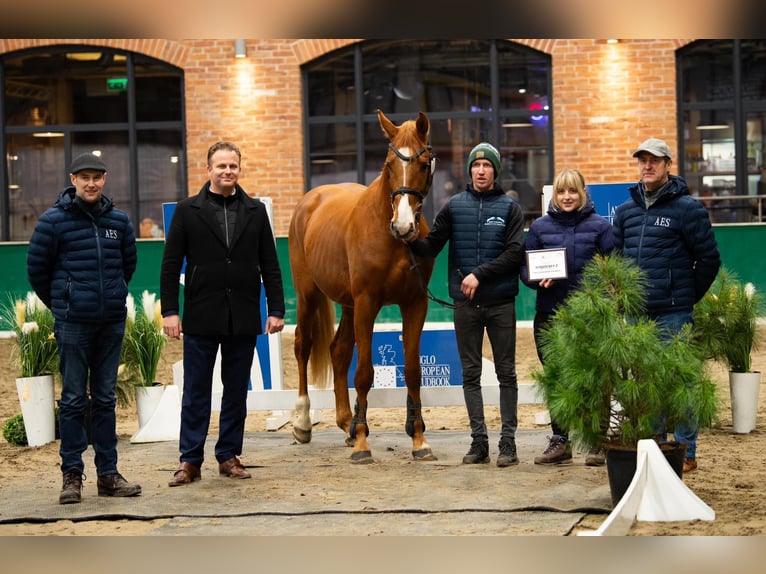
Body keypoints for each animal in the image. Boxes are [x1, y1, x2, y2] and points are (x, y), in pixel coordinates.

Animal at [292, 110, 438, 466]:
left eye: (423, 163)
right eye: (388, 164)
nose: (403, 226)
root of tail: (311, 199)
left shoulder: (415, 303)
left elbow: (412, 371)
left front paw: (418, 439)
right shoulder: (367, 302)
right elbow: (363, 373)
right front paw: (362, 443)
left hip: (347, 304)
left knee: (339, 351)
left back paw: (347, 422)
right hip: (308, 294)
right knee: (304, 345)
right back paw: (303, 422)